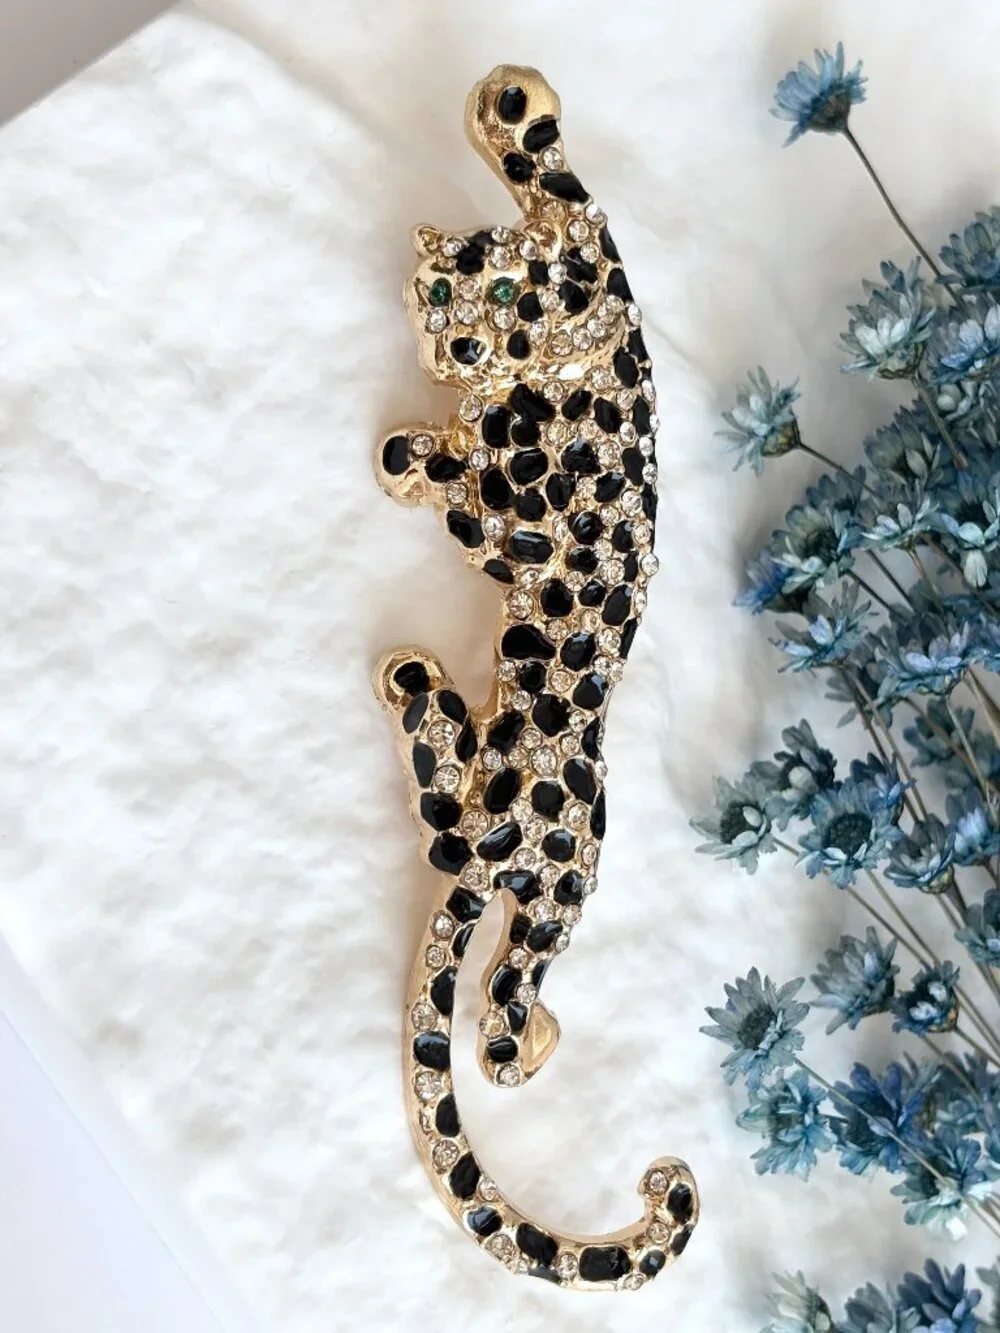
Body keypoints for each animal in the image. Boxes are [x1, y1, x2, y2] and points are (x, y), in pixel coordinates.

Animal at [373, 65, 698, 1290]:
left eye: (514, 289)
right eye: (437, 291)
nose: (458, 348)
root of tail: (504, 837)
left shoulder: (524, 532)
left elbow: (461, 491)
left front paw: (414, 454)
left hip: (557, 885)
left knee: (506, 1004)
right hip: (513, 845)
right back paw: (420, 694)